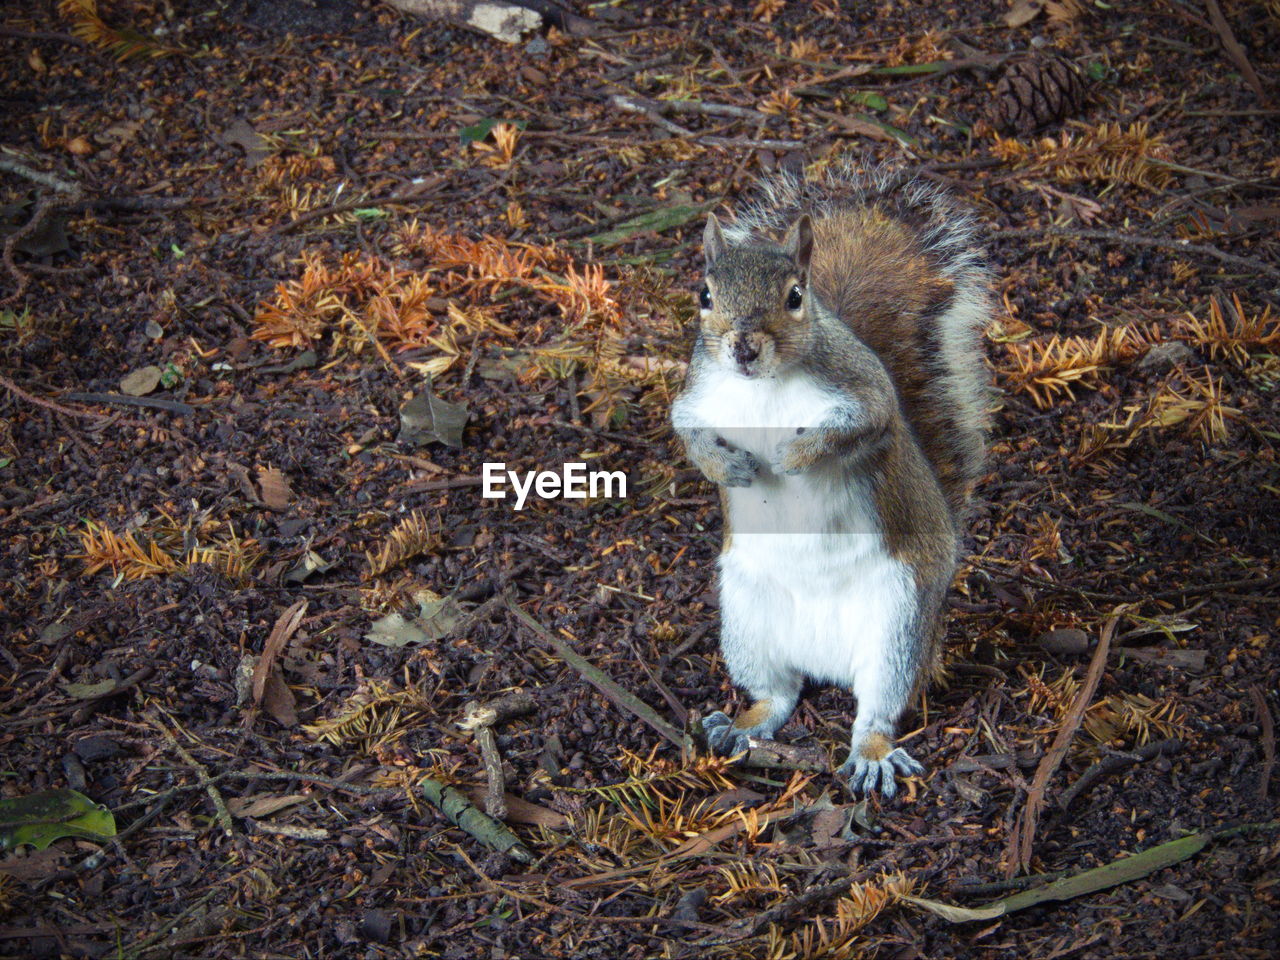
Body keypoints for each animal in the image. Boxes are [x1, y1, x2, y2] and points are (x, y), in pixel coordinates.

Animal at [670, 163, 988, 798]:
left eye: (795, 297)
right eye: (705, 295)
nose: (743, 348)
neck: (764, 387)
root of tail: (826, 662)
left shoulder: (866, 393)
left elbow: (855, 428)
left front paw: (795, 455)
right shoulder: (694, 399)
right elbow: (688, 435)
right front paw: (729, 467)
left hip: (899, 621)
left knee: (878, 708)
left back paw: (870, 752)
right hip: (745, 616)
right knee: (779, 693)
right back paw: (742, 725)